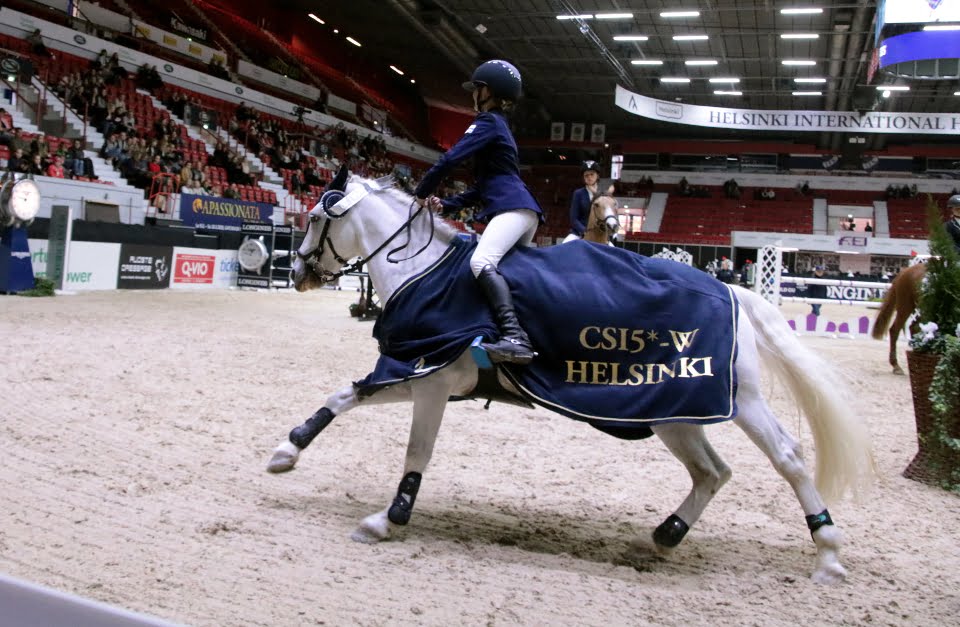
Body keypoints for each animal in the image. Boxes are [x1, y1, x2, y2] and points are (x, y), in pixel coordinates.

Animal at [270, 169, 875, 583]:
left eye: (315, 218)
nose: (298, 271)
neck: (426, 271)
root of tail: (732, 289)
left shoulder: (434, 381)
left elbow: (416, 450)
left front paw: (388, 519)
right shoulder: (424, 373)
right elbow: (343, 395)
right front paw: (287, 450)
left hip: (737, 400)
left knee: (787, 457)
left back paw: (829, 555)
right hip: (673, 410)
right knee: (712, 471)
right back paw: (666, 535)